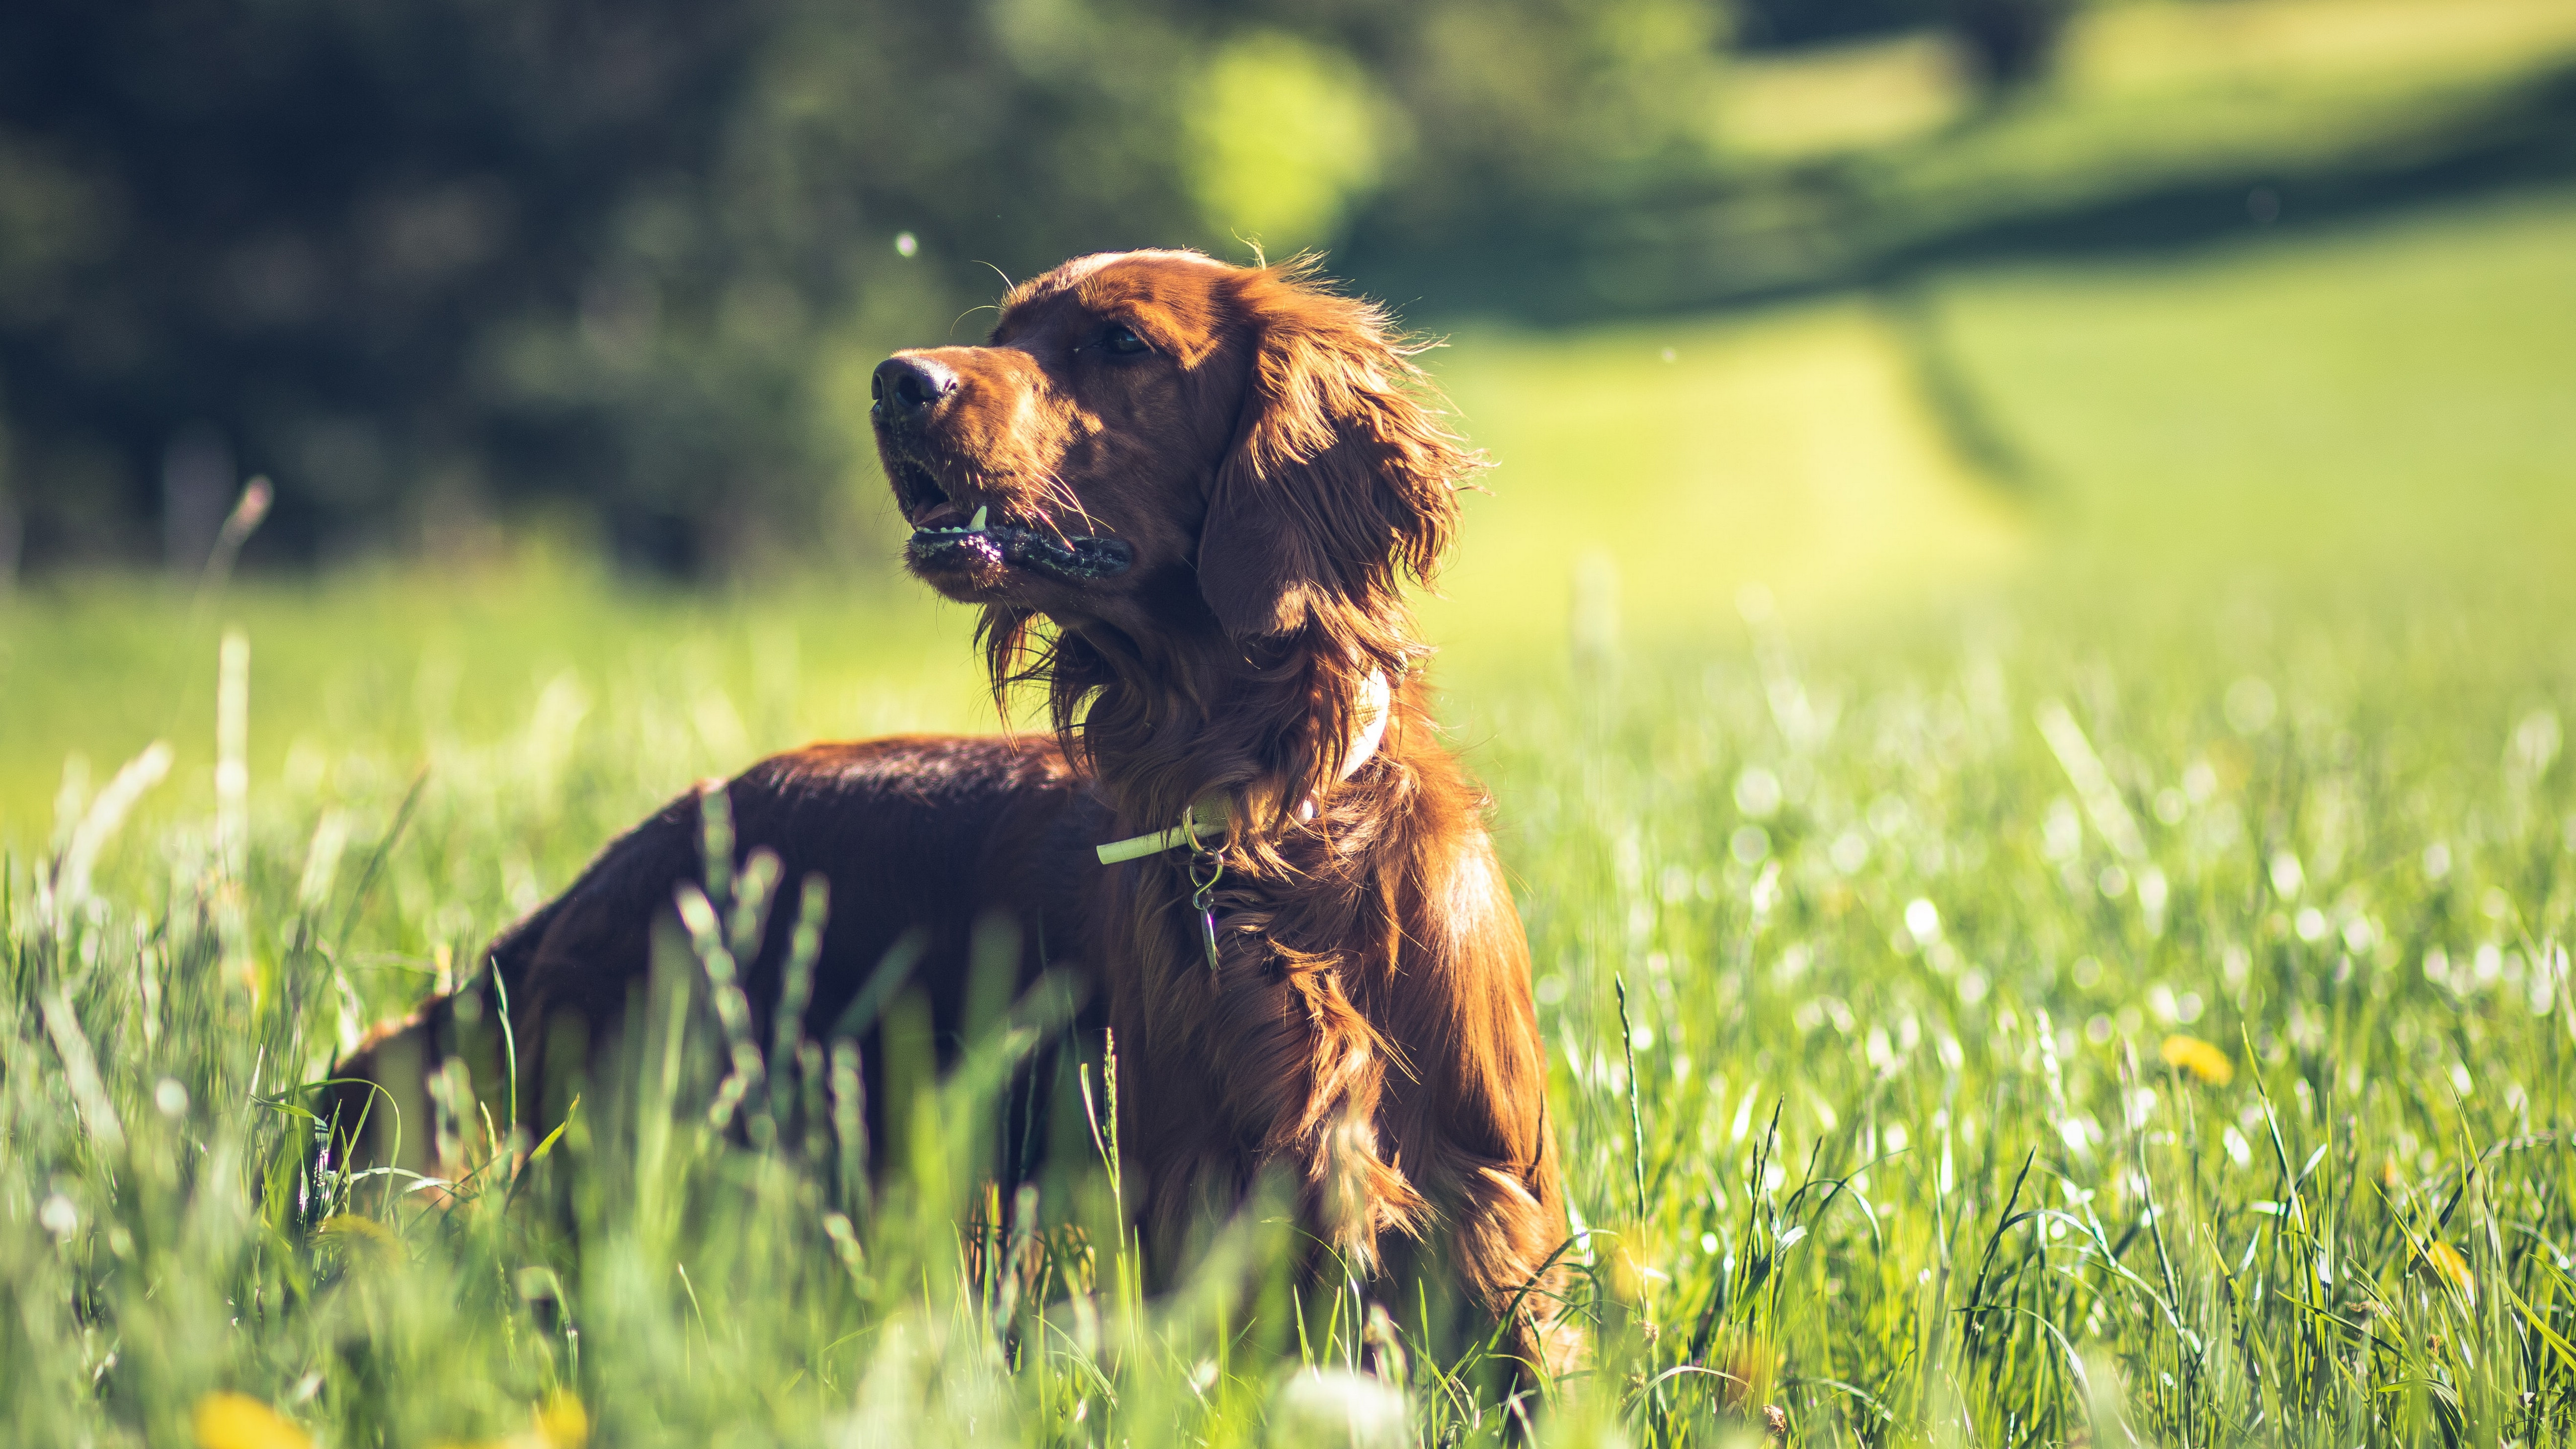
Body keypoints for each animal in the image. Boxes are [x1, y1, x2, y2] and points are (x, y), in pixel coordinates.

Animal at [337, 254, 1566, 1372]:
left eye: (1121, 342)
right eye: (1003, 329)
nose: (893, 383)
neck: (1263, 820)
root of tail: (612, 870)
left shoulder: (1492, 1223)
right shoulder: (1195, 1212)